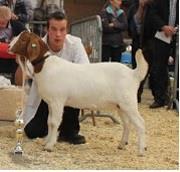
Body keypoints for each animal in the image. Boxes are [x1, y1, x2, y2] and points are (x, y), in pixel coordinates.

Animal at [9, 30, 148, 156]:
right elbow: (49, 122)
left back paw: (141, 151)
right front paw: (46, 141)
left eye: (23, 39)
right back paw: (122, 144)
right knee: (127, 124)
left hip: (129, 103)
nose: (9, 46)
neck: (45, 65)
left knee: (140, 123)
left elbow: (54, 122)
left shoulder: (57, 101)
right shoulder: (50, 103)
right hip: (121, 106)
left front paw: (49, 146)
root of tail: (133, 74)